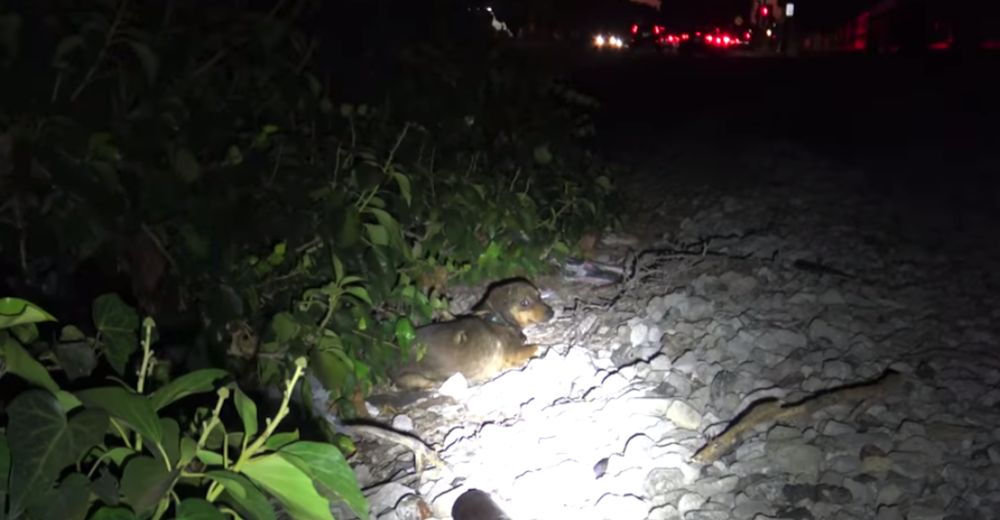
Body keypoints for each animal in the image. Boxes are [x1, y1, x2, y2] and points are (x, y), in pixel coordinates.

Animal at [388, 280, 556, 390]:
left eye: (539, 296)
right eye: (524, 303)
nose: (552, 312)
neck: (498, 319)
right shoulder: (512, 353)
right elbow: (535, 346)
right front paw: (545, 348)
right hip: (415, 378)